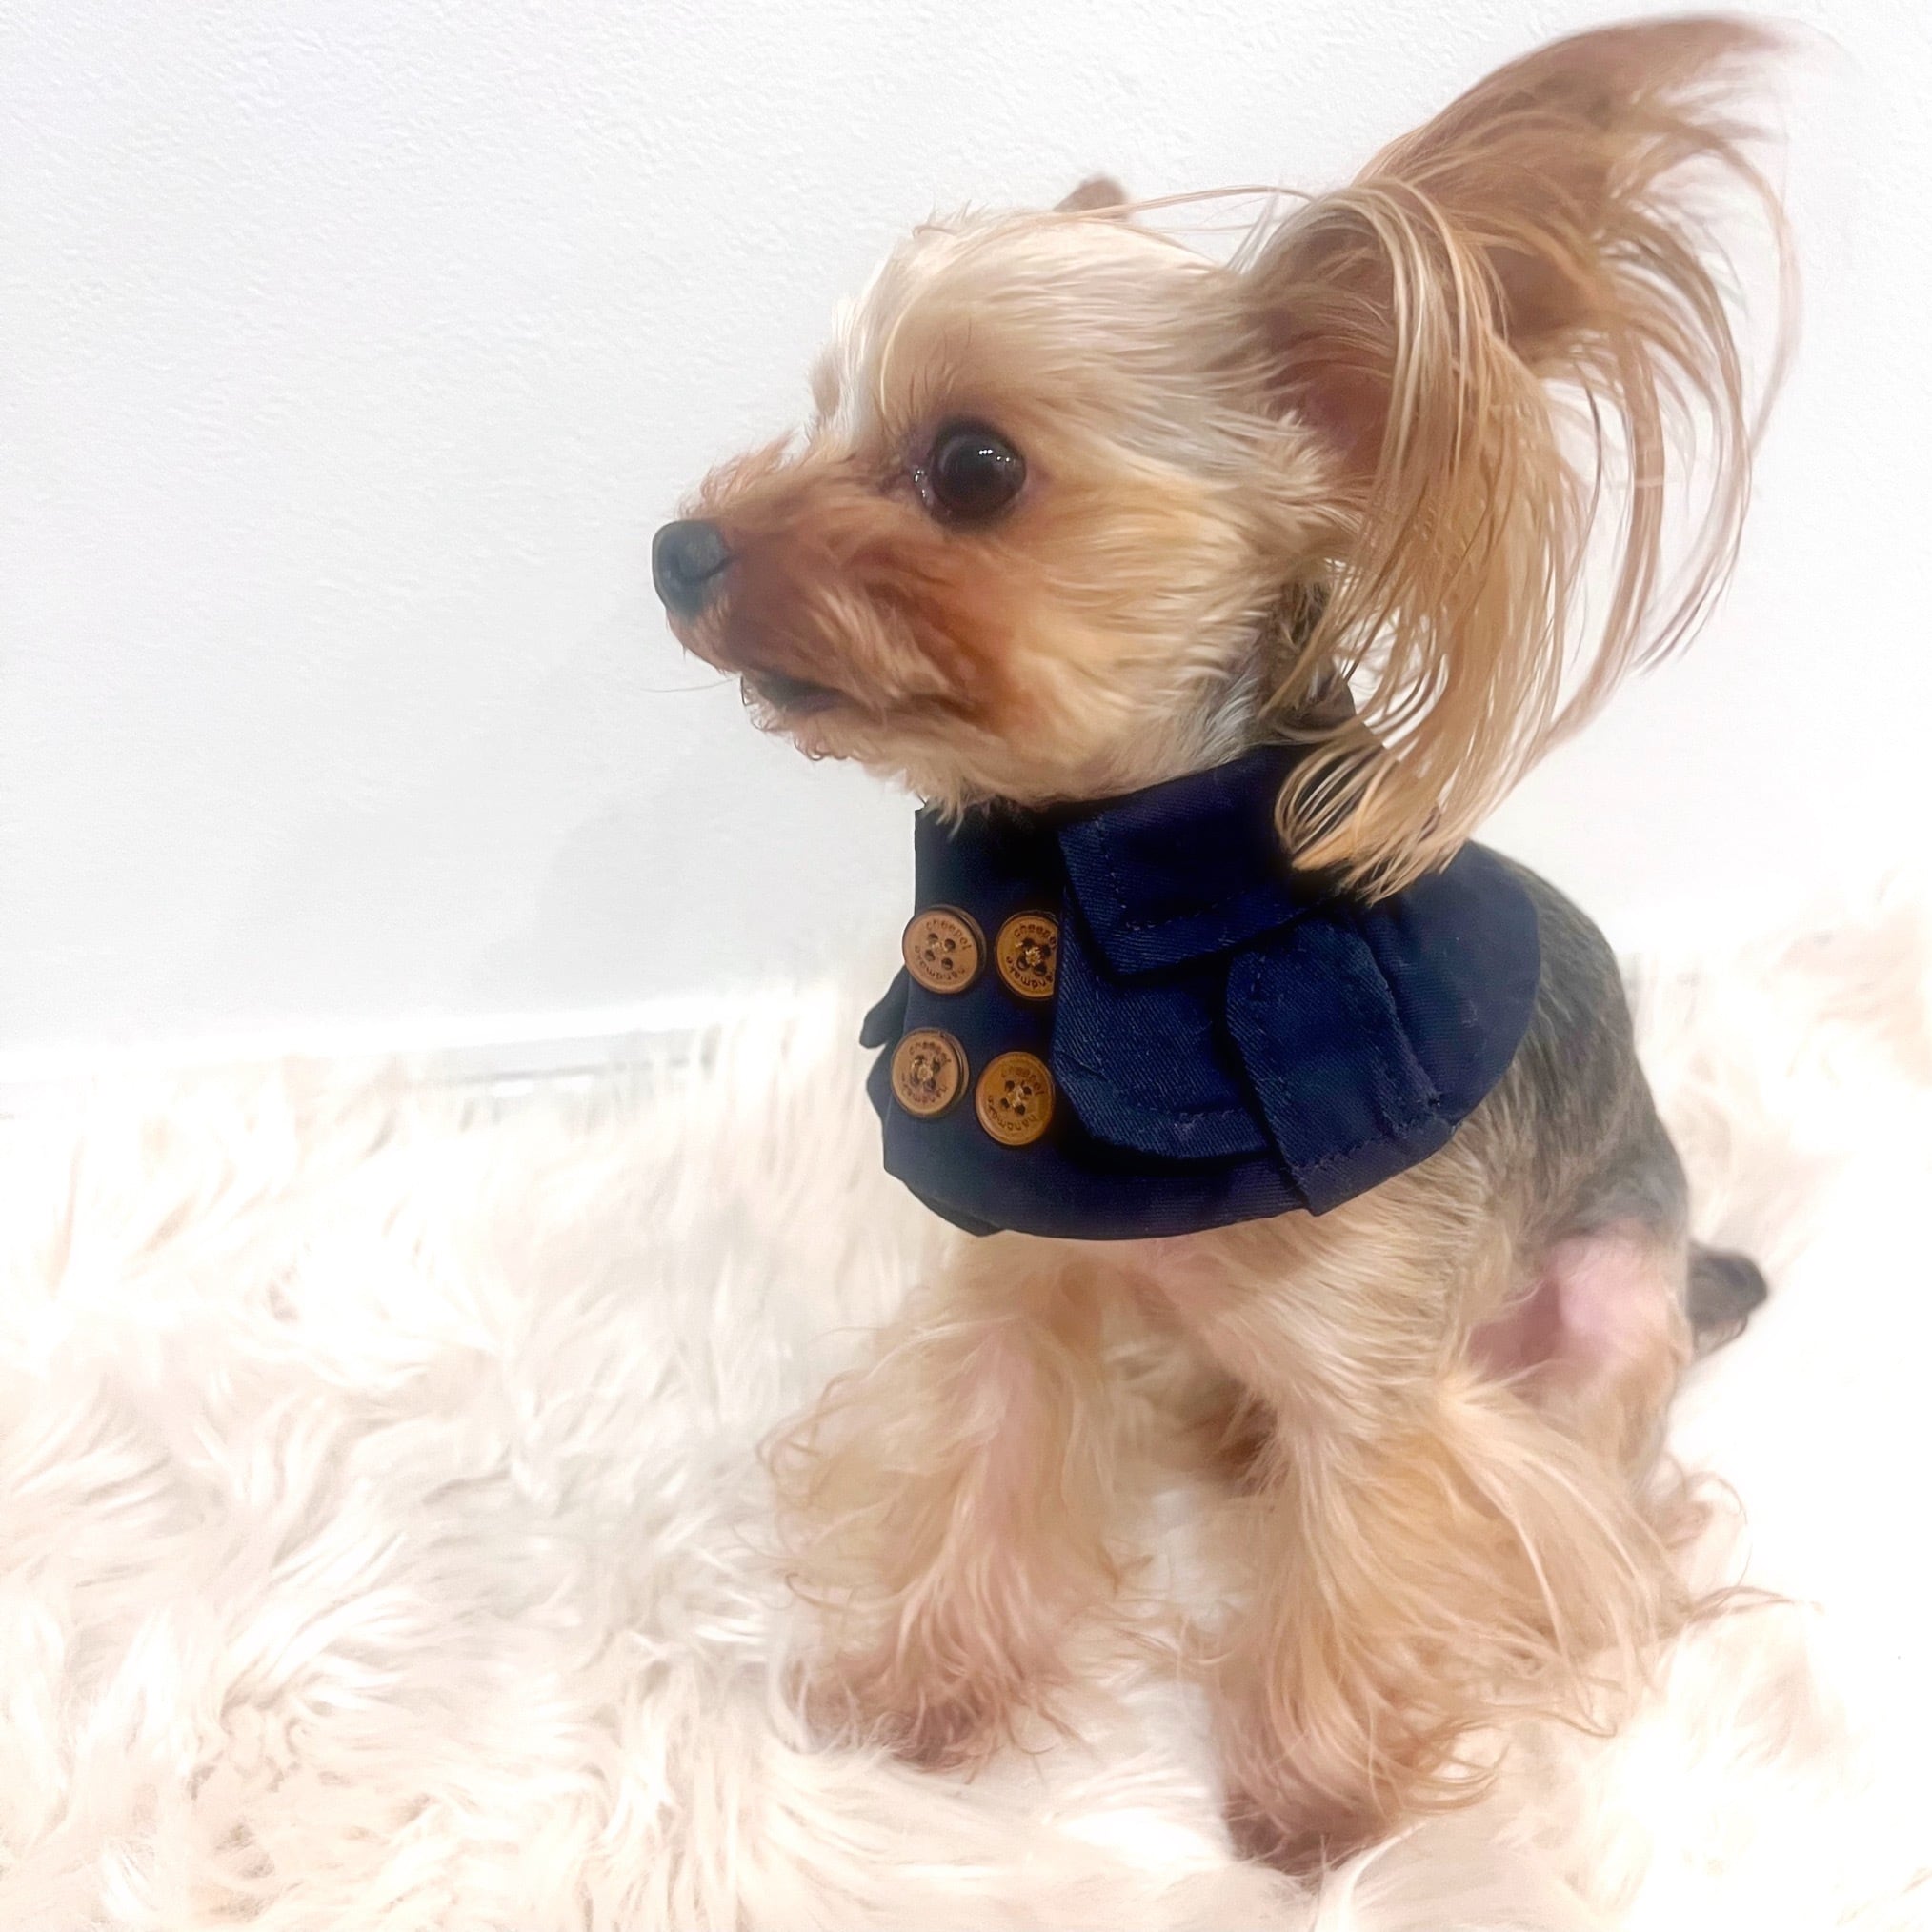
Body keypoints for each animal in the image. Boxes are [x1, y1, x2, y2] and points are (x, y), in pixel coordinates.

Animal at [654, 18, 1786, 1869]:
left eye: (973, 467)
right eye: (815, 417)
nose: (677, 548)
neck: (1081, 894)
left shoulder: (1387, 1383)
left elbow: (1370, 1551)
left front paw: (1314, 1806)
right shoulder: (1023, 1281)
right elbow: (993, 1462)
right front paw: (929, 1696)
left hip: (1609, 1300)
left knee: (1613, 1466)